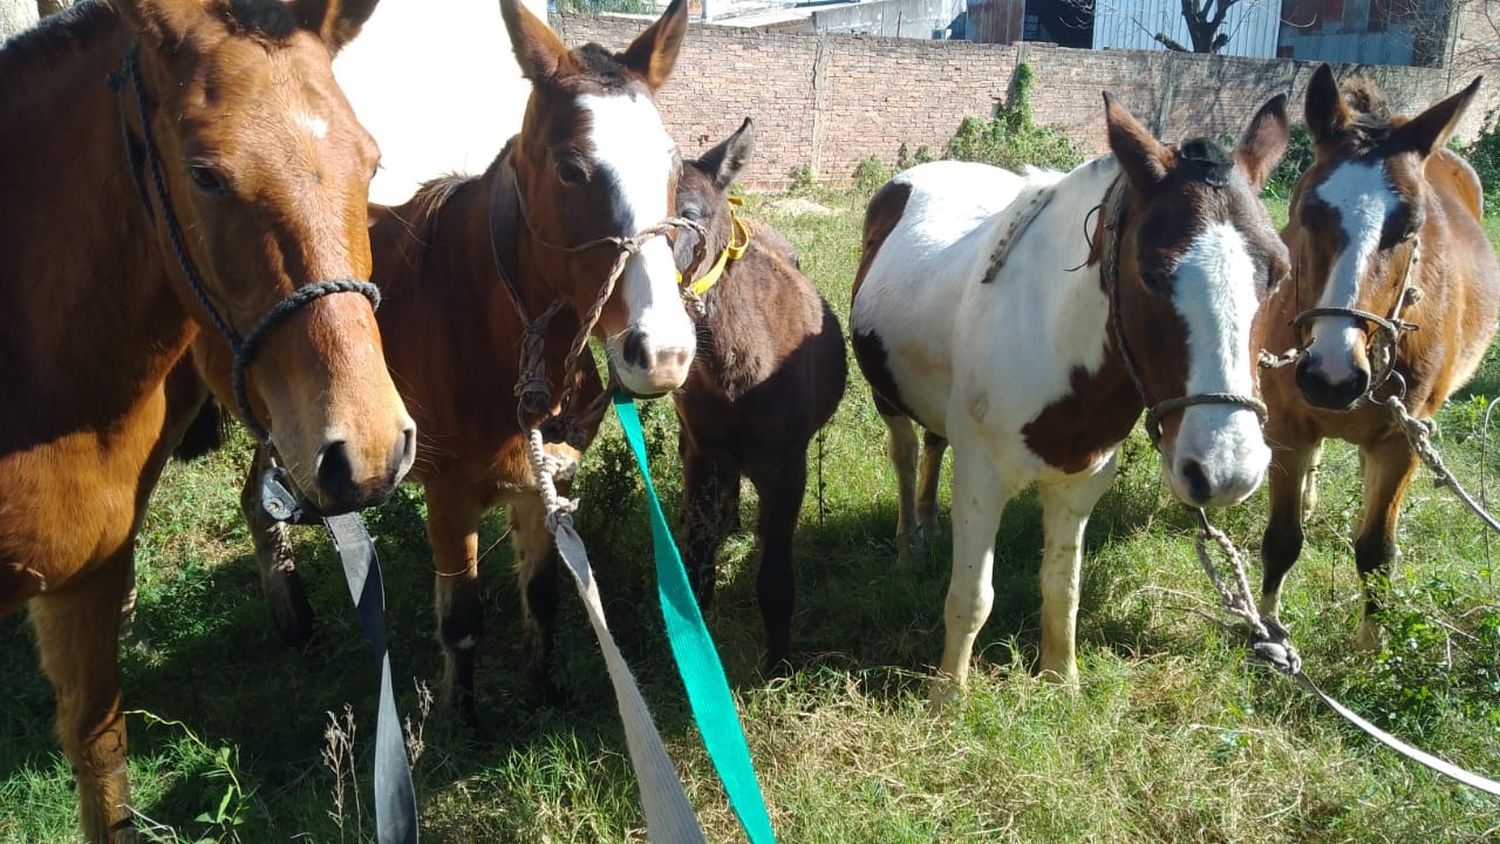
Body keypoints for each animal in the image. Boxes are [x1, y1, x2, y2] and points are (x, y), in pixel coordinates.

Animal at [238, 0, 696, 725]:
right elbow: (462, 620)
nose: (664, 353)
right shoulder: (448, 496)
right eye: (571, 169)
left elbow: (544, 596)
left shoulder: (545, 483)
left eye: (672, 165)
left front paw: (544, 689)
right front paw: (466, 720)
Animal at [669, 116, 846, 668]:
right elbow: (695, 561)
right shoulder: (704, 454)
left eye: (690, 215)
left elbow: (775, 576)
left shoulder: (786, 466)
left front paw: (779, 664)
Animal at [852, 92, 1296, 704]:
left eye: (1277, 273)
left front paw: (1061, 682)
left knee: (935, 444)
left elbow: (1062, 589)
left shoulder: (1081, 484)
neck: (1052, 337)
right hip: (889, 399)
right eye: (1151, 272)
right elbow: (972, 598)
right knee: (905, 453)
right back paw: (910, 545)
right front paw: (948, 696)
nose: (1226, 470)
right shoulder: (980, 479)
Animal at [1254, 69, 1500, 650]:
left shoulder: (1402, 440)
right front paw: (1269, 635)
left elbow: (1376, 551)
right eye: (1307, 212)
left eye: (1410, 226)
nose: (1332, 377)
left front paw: (1372, 648)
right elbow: (1282, 538)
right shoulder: (1287, 425)